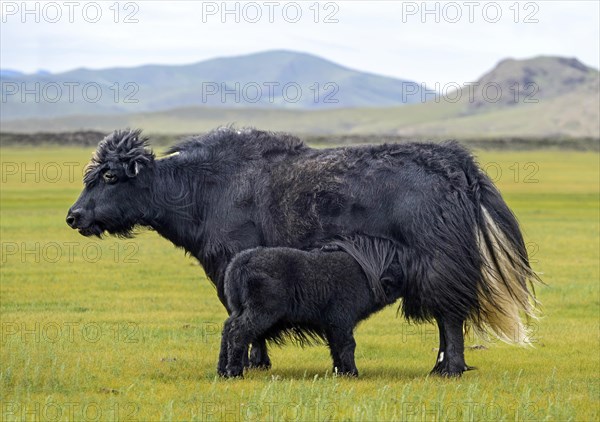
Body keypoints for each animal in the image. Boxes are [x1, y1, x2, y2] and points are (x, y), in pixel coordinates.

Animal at [218, 236, 400, 378]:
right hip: (260, 311)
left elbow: (336, 347)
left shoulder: (333, 324)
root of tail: (242, 260)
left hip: (239, 310)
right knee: (238, 333)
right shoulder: (341, 320)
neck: (365, 271)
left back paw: (222, 370)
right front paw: (351, 373)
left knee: (227, 329)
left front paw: (339, 372)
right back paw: (234, 372)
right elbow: (347, 345)